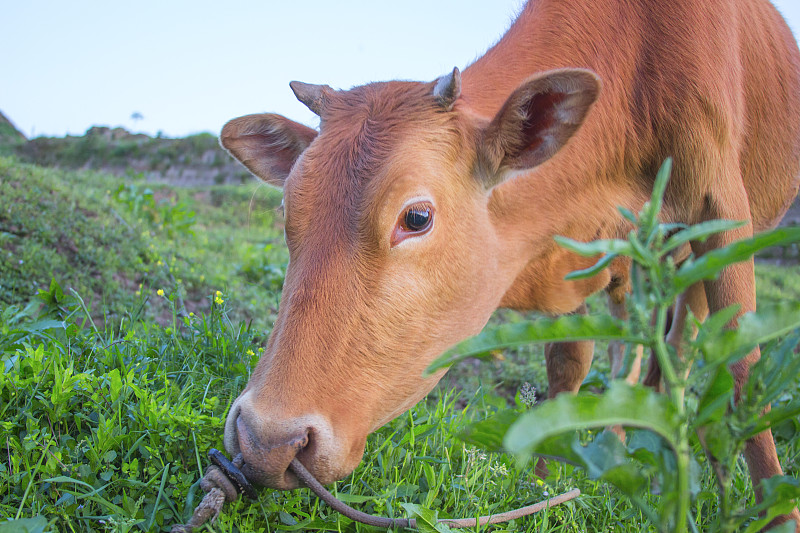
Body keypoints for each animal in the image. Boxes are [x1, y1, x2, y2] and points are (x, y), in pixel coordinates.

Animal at [219, 0, 800, 524]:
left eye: (416, 217)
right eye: (289, 209)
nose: (265, 440)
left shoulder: (724, 211)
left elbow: (744, 363)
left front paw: (776, 510)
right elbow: (568, 361)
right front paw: (543, 480)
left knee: (682, 339)